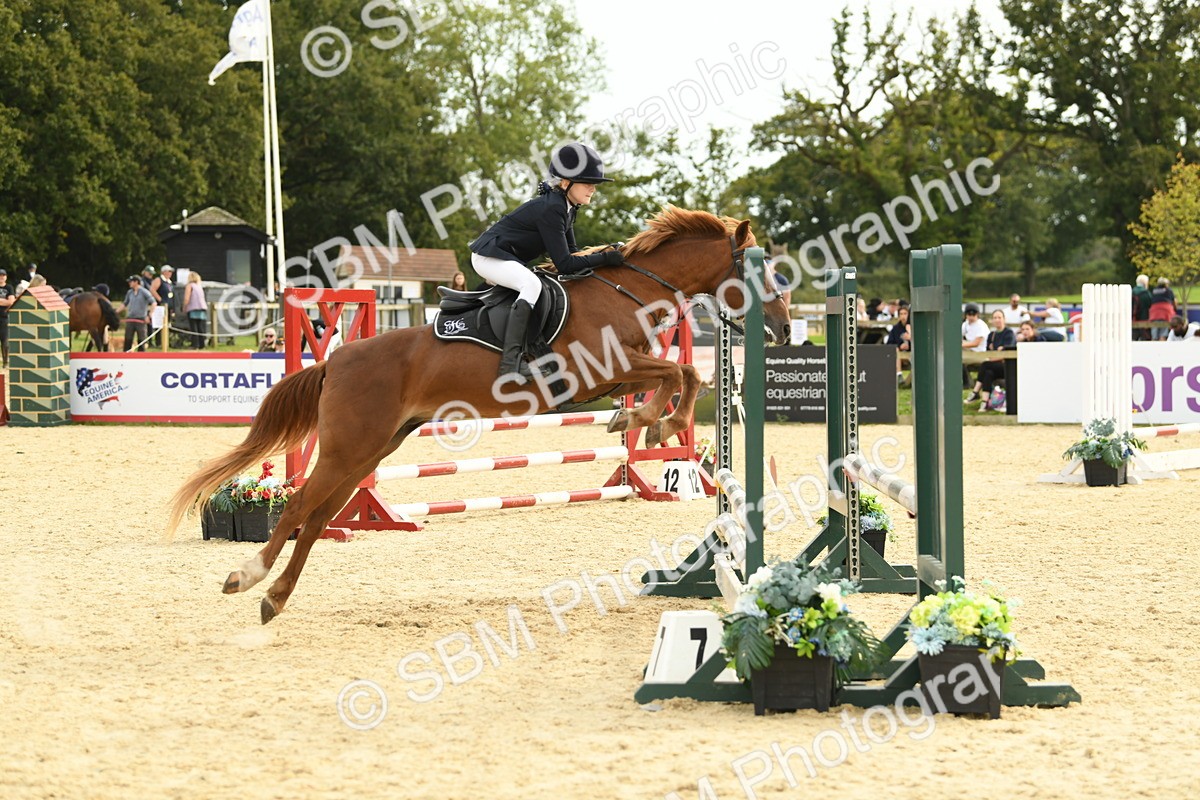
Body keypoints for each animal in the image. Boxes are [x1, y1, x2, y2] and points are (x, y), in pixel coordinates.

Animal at [167, 206, 792, 624]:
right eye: (758, 271)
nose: (784, 329)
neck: (625, 291)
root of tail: (336, 359)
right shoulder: (598, 373)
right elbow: (676, 374)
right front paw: (656, 423)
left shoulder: (617, 376)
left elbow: (681, 374)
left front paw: (646, 423)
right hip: (350, 446)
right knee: (299, 507)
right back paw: (247, 579)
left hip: (372, 449)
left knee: (318, 519)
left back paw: (275, 599)